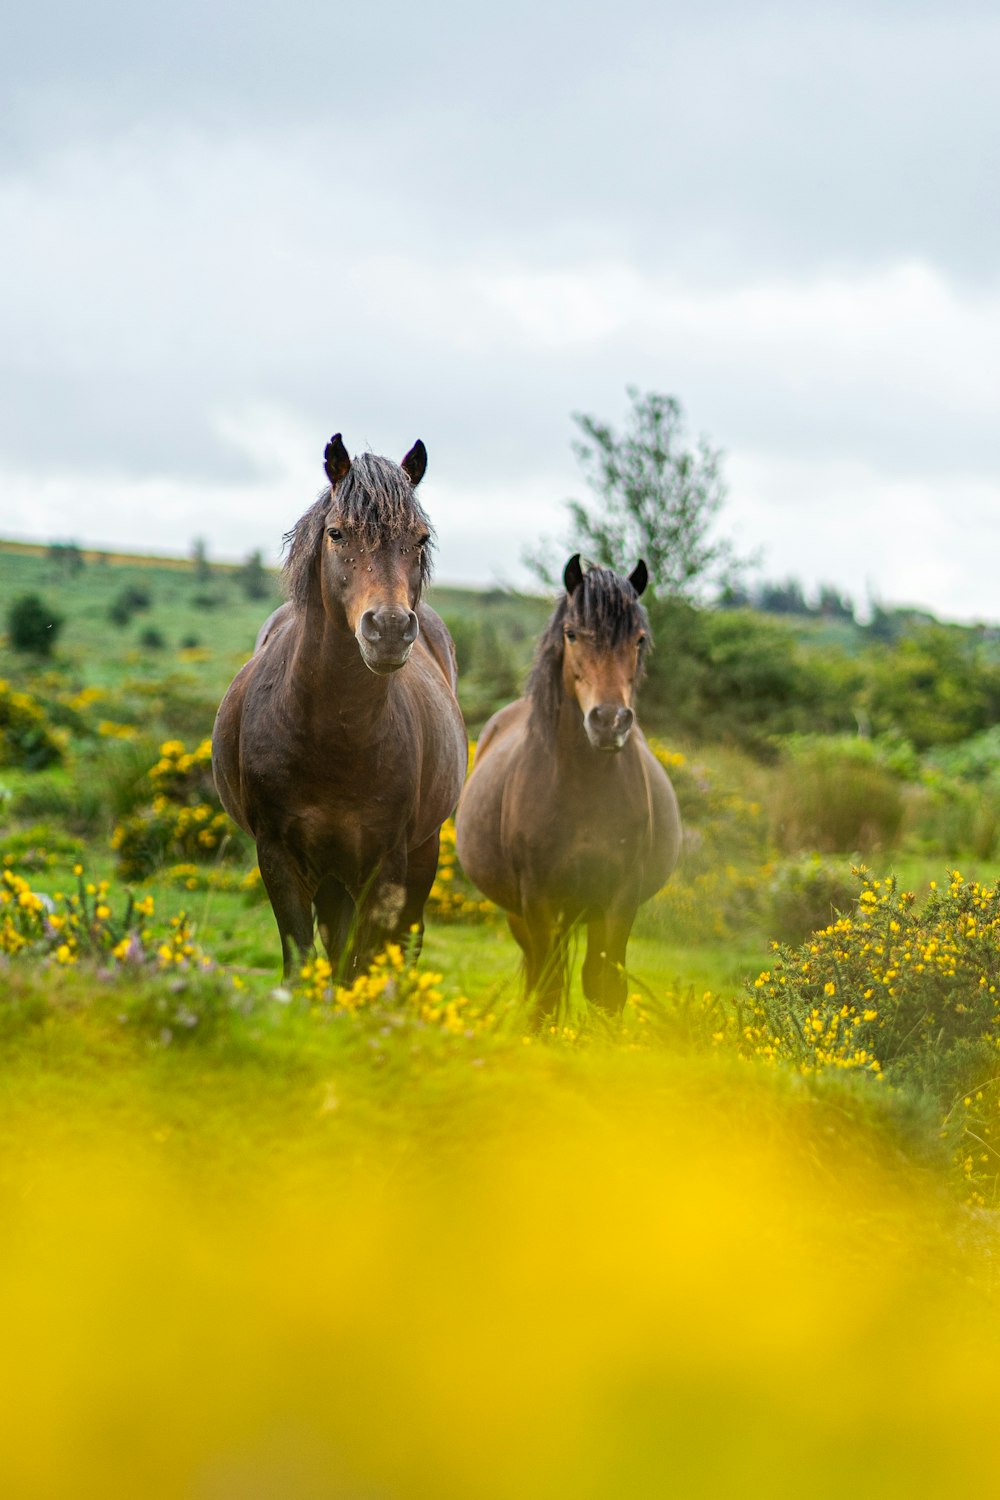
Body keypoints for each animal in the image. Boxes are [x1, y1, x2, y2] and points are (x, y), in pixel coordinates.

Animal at [212, 432, 470, 984]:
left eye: (419, 538)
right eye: (336, 533)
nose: (389, 629)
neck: (333, 733)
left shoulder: (387, 862)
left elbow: (364, 963)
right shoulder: (278, 856)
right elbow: (301, 961)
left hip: (421, 852)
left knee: (403, 941)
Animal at [455, 558, 683, 1014]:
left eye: (639, 638)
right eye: (572, 633)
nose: (609, 721)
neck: (583, 787)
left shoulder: (619, 898)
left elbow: (605, 988)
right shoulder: (537, 898)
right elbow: (547, 991)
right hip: (522, 915)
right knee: (538, 974)